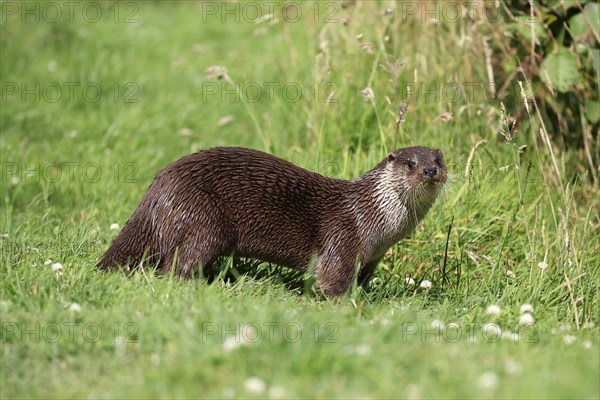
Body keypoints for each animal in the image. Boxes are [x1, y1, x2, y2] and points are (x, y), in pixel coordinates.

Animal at [97, 145, 446, 296]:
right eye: (411, 163)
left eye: (439, 160)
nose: (430, 170)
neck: (375, 219)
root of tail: (156, 190)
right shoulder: (344, 237)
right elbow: (332, 280)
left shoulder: (373, 257)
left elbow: (361, 280)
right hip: (206, 221)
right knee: (175, 265)